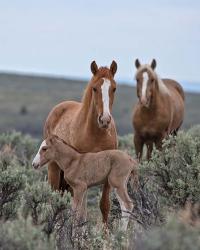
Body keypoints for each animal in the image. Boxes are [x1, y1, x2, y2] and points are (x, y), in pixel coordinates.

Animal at [43, 60, 118, 227]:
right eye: (94, 88)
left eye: (114, 88)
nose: (104, 120)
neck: (96, 135)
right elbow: (80, 210)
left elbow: (104, 205)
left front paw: (105, 234)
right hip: (54, 169)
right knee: (55, 199)